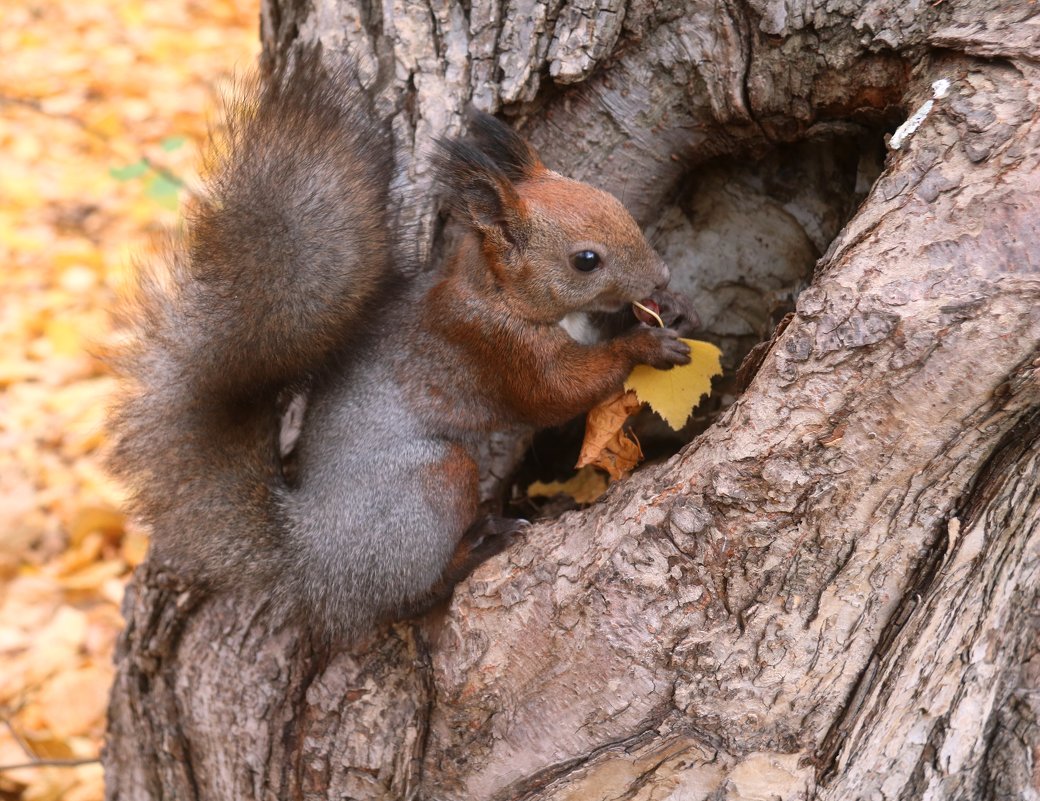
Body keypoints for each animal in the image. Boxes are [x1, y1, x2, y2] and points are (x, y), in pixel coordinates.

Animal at [107, 49, 698, 640]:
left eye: (615, 204)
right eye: (586, 260)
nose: (663, 273)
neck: (495, 292)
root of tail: (316, 558)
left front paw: (669, 306)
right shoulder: (493, 346)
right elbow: (556, 394)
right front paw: (645, 345)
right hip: (432, 480)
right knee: (410, 594)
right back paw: (478, 546)